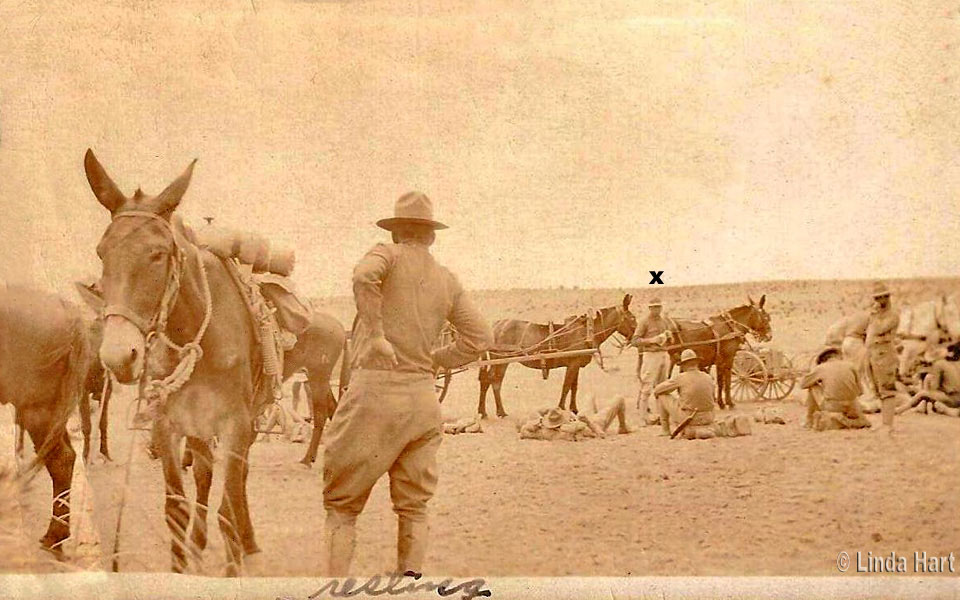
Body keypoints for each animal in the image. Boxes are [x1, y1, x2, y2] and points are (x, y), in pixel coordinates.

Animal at [83, 149, 344, 572]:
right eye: (101, 252)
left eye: (158, 254)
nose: (119, 356)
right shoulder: (169, 425)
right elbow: (177, 508)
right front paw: (185, 555)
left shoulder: (235, 423)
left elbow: (228, 505)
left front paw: (234, 557)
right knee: (209, 475)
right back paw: (208, 538)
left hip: (309, 380)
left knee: (311, 420)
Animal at [474, 294, 636, 418]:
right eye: (632, 318)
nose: (634, 338)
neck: (587, 332)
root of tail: (495, 326)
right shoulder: (573, 364)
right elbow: (566, 386)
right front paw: (561, 408)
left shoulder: (576, 364)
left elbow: (574, 387)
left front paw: (574, 409)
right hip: (502, 360)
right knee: (495, 382)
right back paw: (500, 411)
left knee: (485, 381)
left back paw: (483, 412)